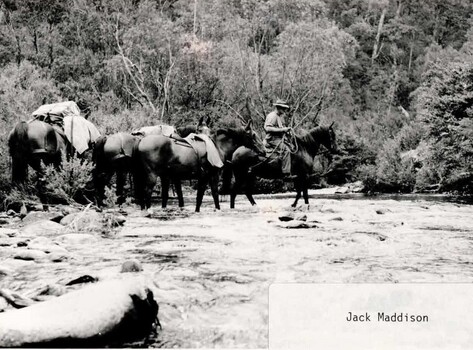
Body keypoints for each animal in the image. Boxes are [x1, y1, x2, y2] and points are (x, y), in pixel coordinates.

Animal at [135, 119, 264, 211]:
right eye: (253, 135)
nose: (263, 150)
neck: (217, 146)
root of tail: (141, 141)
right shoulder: (212, 175)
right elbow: (214, 193)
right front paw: (217, 209)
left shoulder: (203, 177)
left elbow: (200, 196)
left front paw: (197, 210)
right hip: (152, 175)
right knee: (147, 191)